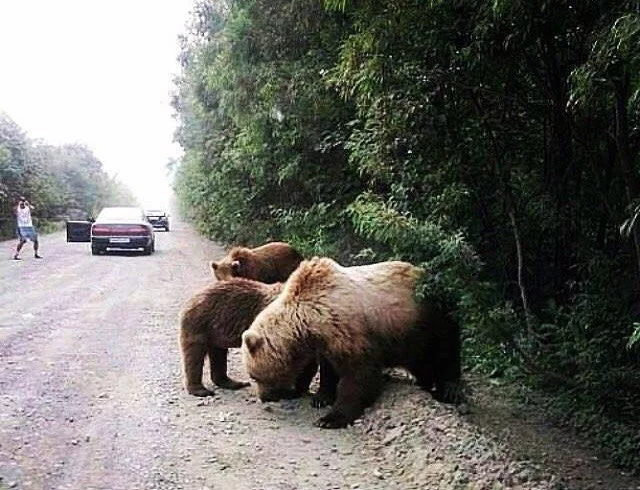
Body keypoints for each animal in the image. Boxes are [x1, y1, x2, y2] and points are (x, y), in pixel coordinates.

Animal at [240, 256, 460, 428]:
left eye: (255, 376)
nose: (264, 397)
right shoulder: (327, 342)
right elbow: (328, 369)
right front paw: (321, 398)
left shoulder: (350, 331)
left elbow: (358, 375)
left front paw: (330, 418)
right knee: (421, 363)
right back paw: (424, 383)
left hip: (427, 320)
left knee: (443, 355)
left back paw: (447, 391)